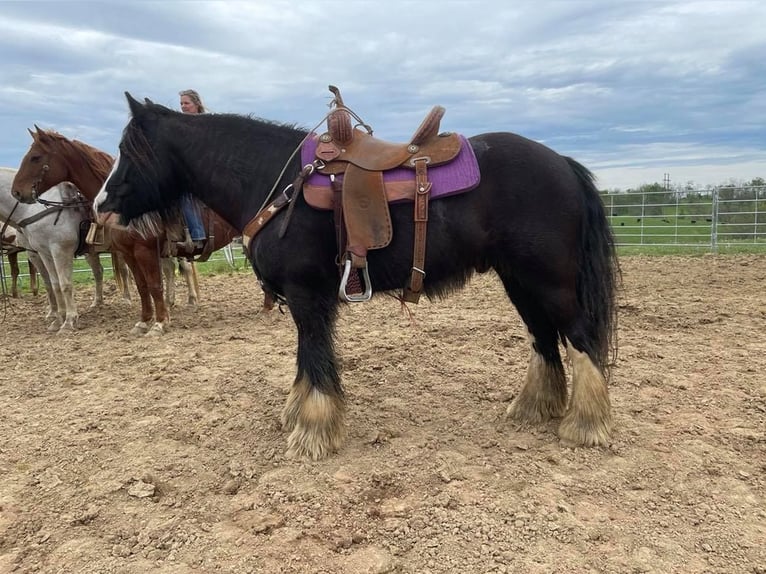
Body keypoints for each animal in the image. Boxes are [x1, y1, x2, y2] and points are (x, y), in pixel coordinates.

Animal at [9, 128, 237, 336]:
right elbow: (142, 286)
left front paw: (159, 324)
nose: (17, 191)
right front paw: (143, 322)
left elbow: (154, 285)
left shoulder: (144, 251)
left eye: (35, 157)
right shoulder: (128, 252)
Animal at [94, 92, 624, 462]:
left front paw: (313, 431)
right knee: (545, 339)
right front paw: (299, 414)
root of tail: (563, 164)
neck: (276, 181)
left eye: (126, 149)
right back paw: (534, 409)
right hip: (520, 280)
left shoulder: (308, 295)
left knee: (578, 338)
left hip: (548, 280)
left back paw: (585, 425)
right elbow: (306, 360)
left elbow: (314, 357)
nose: (101, 205)